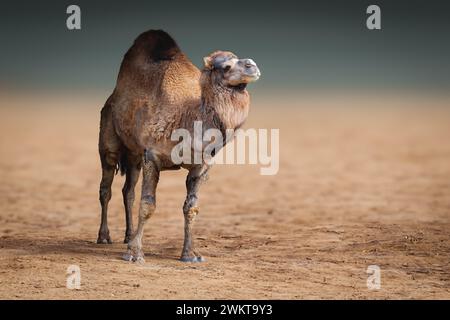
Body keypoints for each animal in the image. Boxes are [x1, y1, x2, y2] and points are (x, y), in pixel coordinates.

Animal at [96, 28, 262, 262]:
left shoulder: (201, 165)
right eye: (227, 66)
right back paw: (104, 237)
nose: (252, 65)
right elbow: (148, 204)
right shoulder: (152, 156)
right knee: (106, 188)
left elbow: (191, 207)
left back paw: (128, 236)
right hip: (109, 136)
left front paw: (191, 254)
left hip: (135, 155)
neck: (187, 117)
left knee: (128, 190)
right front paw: (135, 254)